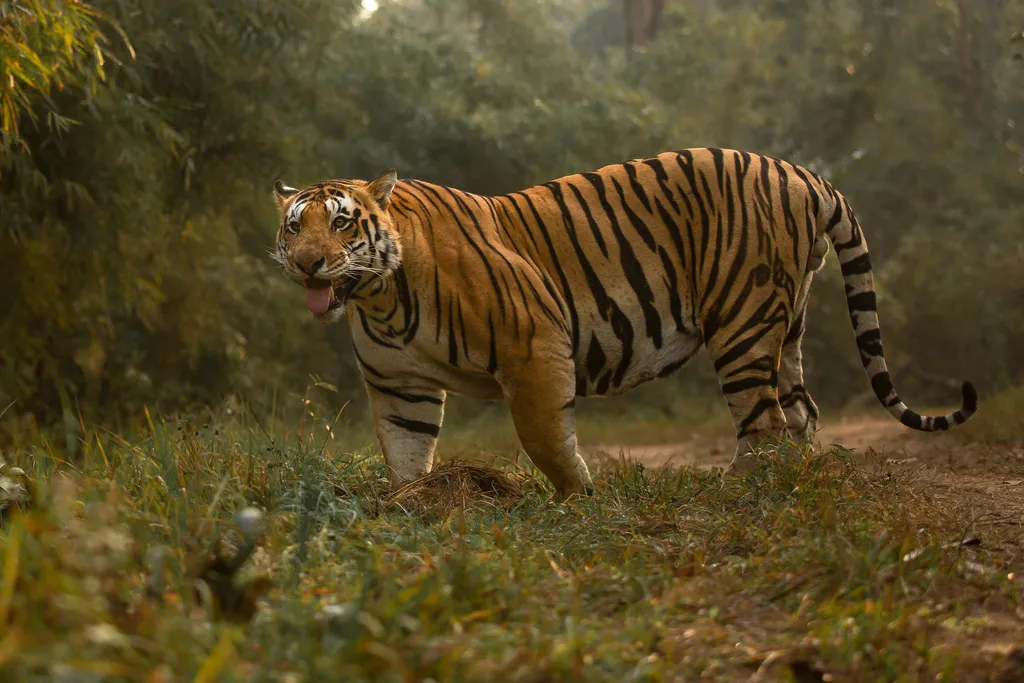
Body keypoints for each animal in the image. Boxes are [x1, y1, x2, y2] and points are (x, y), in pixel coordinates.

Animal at [270, 149, 974, 499]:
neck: (379, 297)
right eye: (294, 226)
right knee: (800, 411)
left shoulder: (534, 346)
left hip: (742, 321)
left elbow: (545, 439)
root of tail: (801, 171)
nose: (306, 264)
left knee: (766, 421)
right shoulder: (400, 385)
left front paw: (575, 497)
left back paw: (740, 490)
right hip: (787, 320)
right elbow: (406, 450)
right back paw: (797, 478)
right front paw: (411, 505)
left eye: (342, 223)